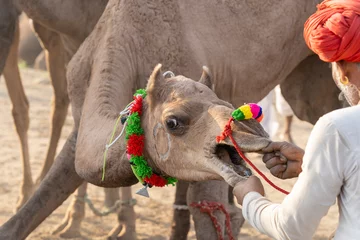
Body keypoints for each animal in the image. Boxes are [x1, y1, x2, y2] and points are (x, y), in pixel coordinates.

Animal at [0, 0, 344, 240]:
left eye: (227, 104)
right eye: (173, 122)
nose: (254, 134)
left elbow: (212, 212)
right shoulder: (81, 124)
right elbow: (33, 207)